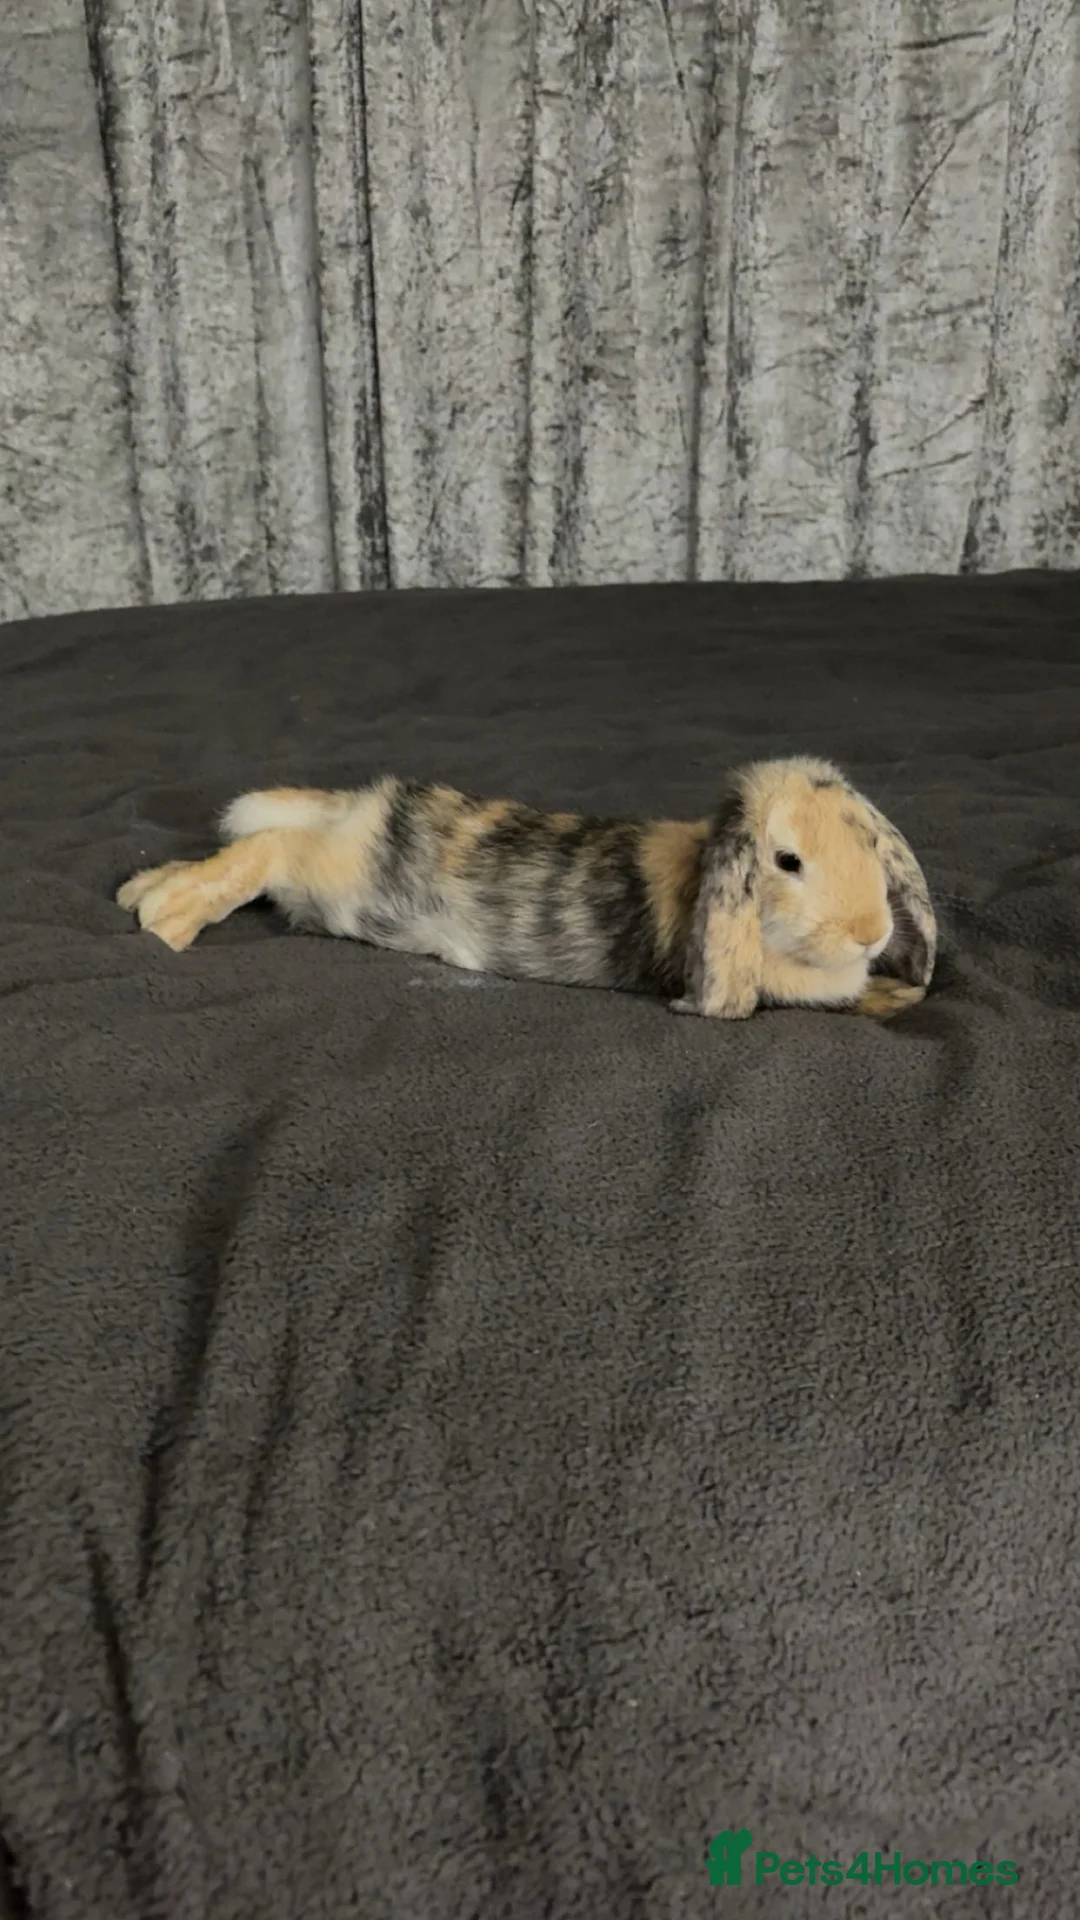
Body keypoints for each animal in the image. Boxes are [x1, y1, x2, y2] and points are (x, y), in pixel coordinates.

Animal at [115, 756, 937, 1020]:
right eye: (787, 860)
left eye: (869, 843)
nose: (871, 932)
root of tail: (372, 805)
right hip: (334, 881)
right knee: (266, 848)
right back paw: (163, 919)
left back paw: (139, 890)